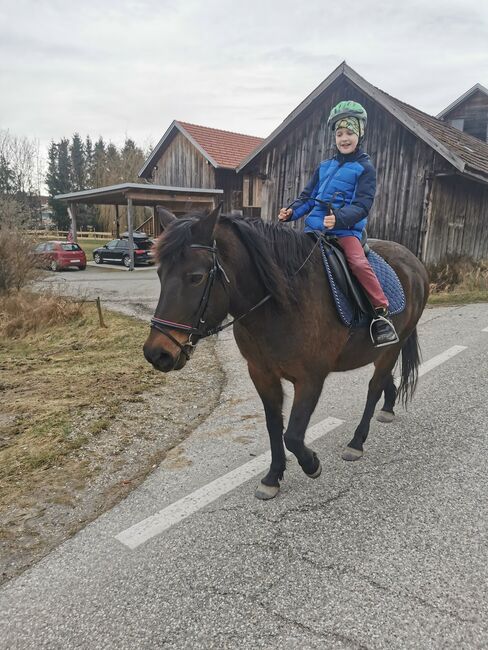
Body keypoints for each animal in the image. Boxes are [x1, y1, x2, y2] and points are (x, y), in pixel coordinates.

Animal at [143, 205, 428, 498]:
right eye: (160, 274)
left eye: (196, 277)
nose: (157, 353)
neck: (282, 304)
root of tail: (413, 261)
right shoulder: (261, 374)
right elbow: (274, 426)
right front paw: (273, 476)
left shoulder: (311, 379)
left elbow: (293, 434)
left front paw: (311, 463)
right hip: (380, 351)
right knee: (384, 381)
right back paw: (388, 407)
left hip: (393, 346)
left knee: (374, 387)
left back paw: (356, 442)